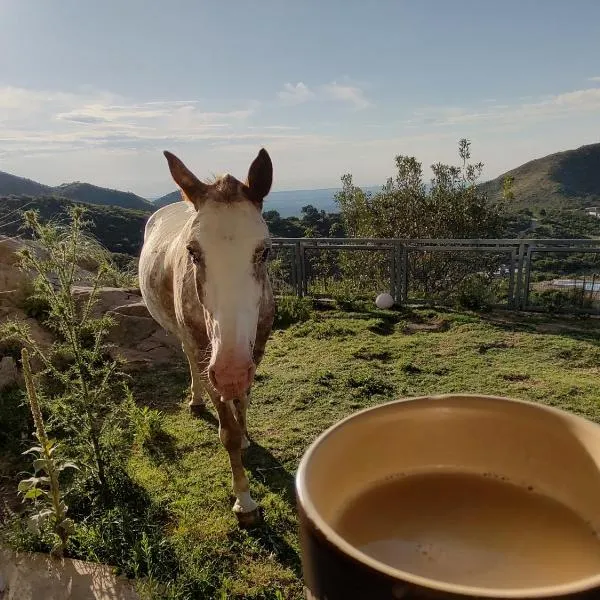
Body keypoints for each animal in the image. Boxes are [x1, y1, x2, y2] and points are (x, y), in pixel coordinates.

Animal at [138, 149, 274, 524]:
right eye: (193, 252)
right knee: (188, 359)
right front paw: (245, 501)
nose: (229, 371)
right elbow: (226, 431)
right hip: (186, 337)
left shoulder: (255, 349)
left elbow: (243, 401)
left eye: (264, 251)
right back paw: (196, 399)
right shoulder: (208, 354)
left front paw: (246, 437)